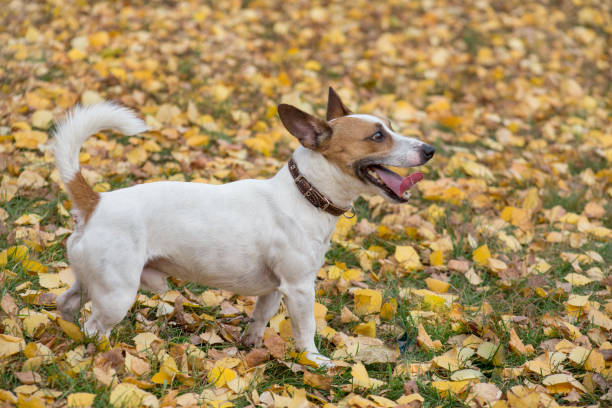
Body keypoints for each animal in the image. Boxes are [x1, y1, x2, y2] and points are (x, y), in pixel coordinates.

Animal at [53, 88, 436, 366]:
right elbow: (306, 329)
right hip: (118, 293)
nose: (430, 149)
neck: (304, 193)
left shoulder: (274, 288)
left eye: (388, 127)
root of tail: (96, 202)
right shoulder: (299, 288)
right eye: (377, 136)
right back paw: (104, 356)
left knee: (67, 305)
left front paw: (250, 348)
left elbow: (259, 318)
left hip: (93, 282)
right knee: (94, 328)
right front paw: (313, 361)